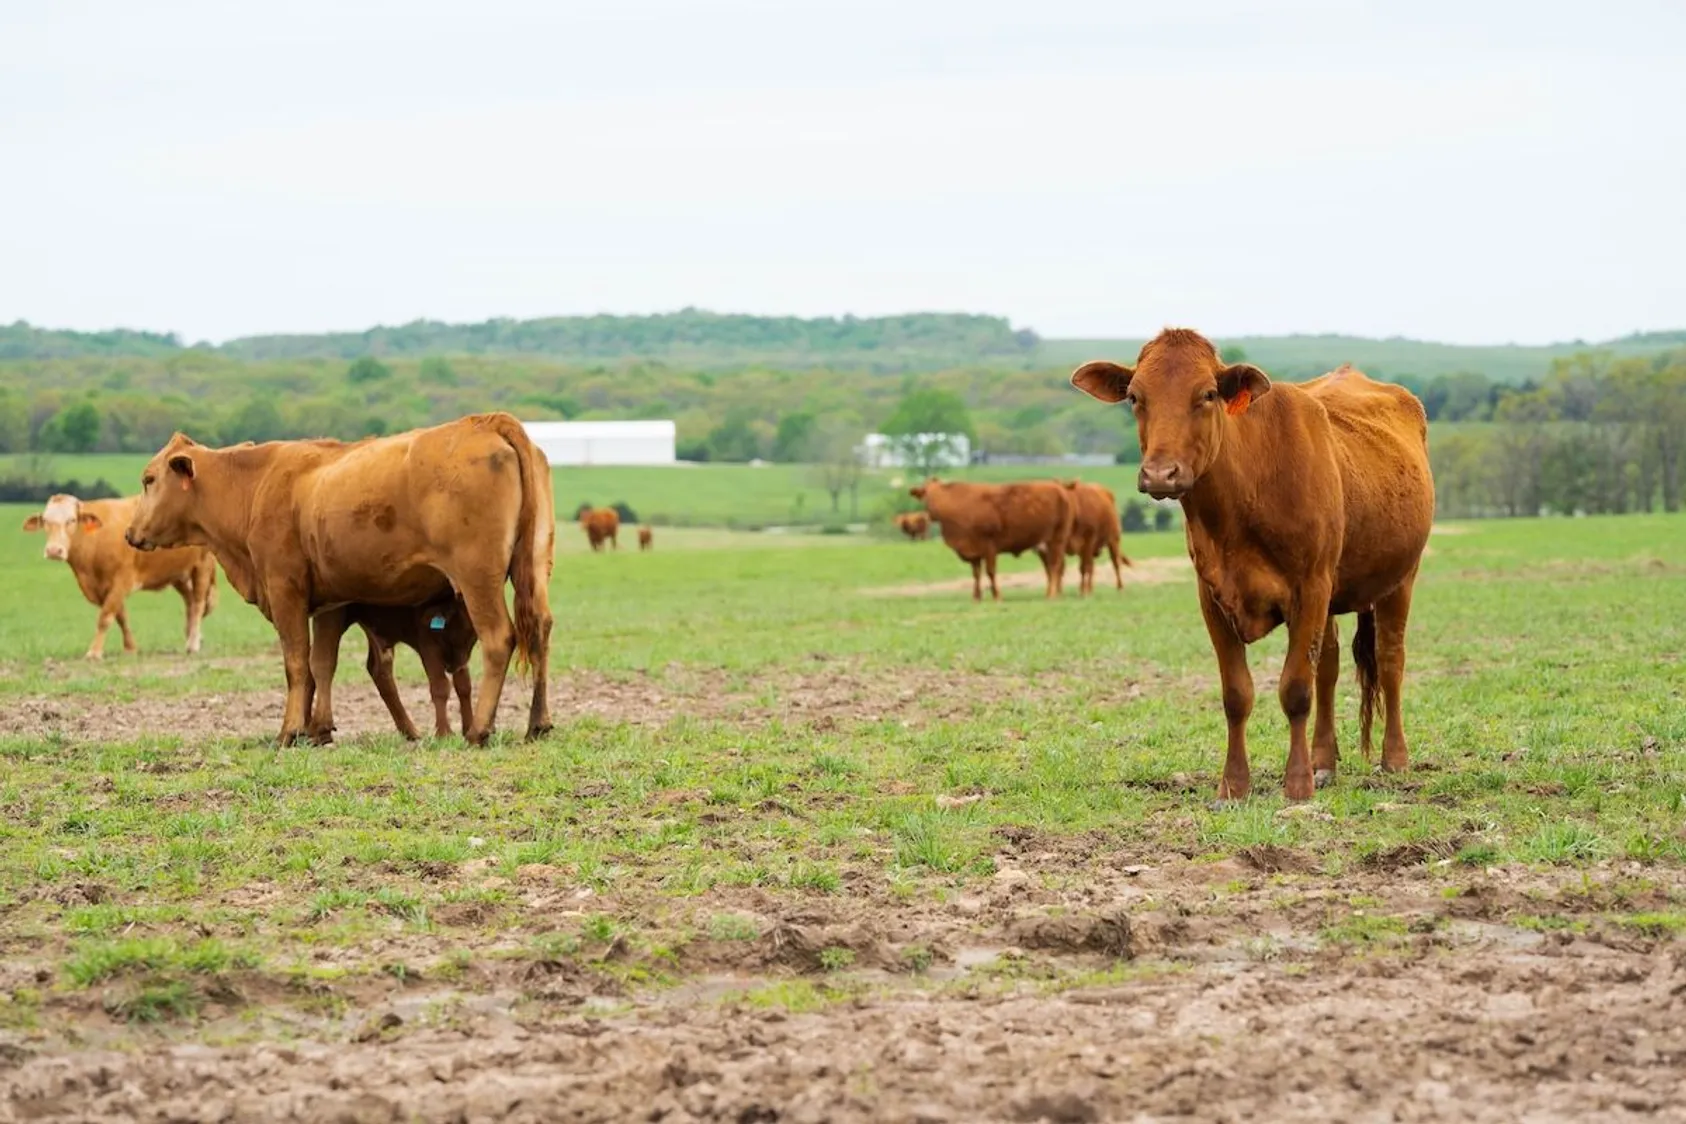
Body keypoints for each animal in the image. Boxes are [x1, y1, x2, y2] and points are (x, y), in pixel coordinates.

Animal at [22, 493, 218, 659]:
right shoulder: (103, 587)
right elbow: (121, 616)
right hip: (177, 572)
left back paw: (192, 644)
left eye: (71, 520)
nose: (54, 551)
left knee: (198, 603)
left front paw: (94, 652)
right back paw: (192, 636)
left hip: (202, 565)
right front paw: (130, 648)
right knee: (190, 601)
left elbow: (106, 617)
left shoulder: (122, 580)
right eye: (45, 520)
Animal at [331, 597, 478, 740]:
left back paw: (410, 732)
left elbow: (464, 686)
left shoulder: (461, 657)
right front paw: (444, 733)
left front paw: (469, 728)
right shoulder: (428, 645)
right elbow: (440, 687)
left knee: (380, 670)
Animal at [909, 478, 1074, 601]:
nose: (931, 511)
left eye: (934, 495)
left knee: (1055, 565)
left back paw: (1051, 594)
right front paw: (976, 597)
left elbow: (990, 572)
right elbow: (976, 574)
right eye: (924, 494)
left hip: (1057, 539)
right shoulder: (973, 550)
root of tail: (1058, 486)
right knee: (1054, 567)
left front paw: (996, 596)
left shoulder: (989, 546)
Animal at [1071, 328, 1433, 802]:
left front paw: (1297, 784)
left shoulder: (1310, 588)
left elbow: (1295, 688)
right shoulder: (1213, 598)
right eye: (1135, 396)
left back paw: (1394, 758)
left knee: (1389, 659)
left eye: (1207, 394)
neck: (1242, 501)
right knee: (1329, 667)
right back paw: (1324, 761)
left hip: (1400, 579)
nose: (1160, 474)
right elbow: (1237, 694)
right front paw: (1234, 784)